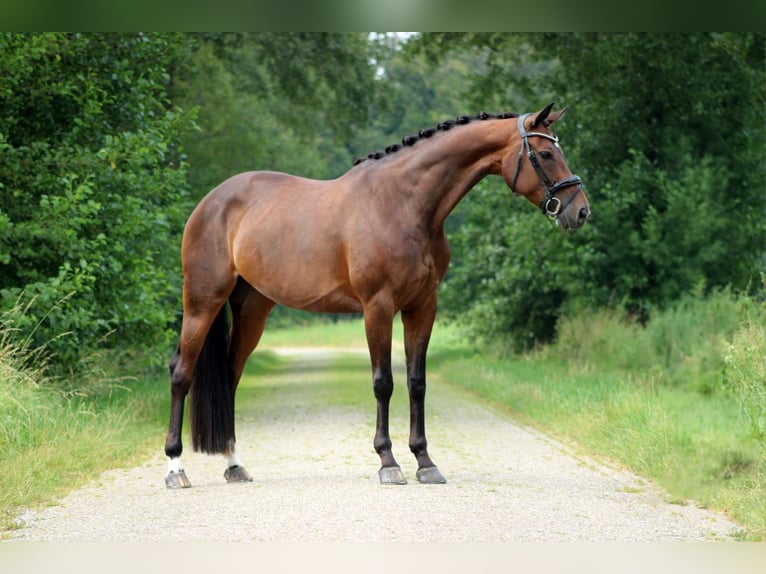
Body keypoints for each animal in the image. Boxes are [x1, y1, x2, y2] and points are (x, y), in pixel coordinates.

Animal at [165, 101, 592, 488]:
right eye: (545, 154)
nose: (581, 212)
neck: (402, 204)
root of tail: (210, 202)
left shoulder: (422, 307)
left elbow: (417, 382)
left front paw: (425, 462)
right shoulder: (378, 306)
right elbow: (383, 382)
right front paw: (388, 462)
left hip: (253, 308)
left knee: (230, 377)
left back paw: (234, 465)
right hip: (202, 302)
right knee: (182, 372)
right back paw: (175, 468)